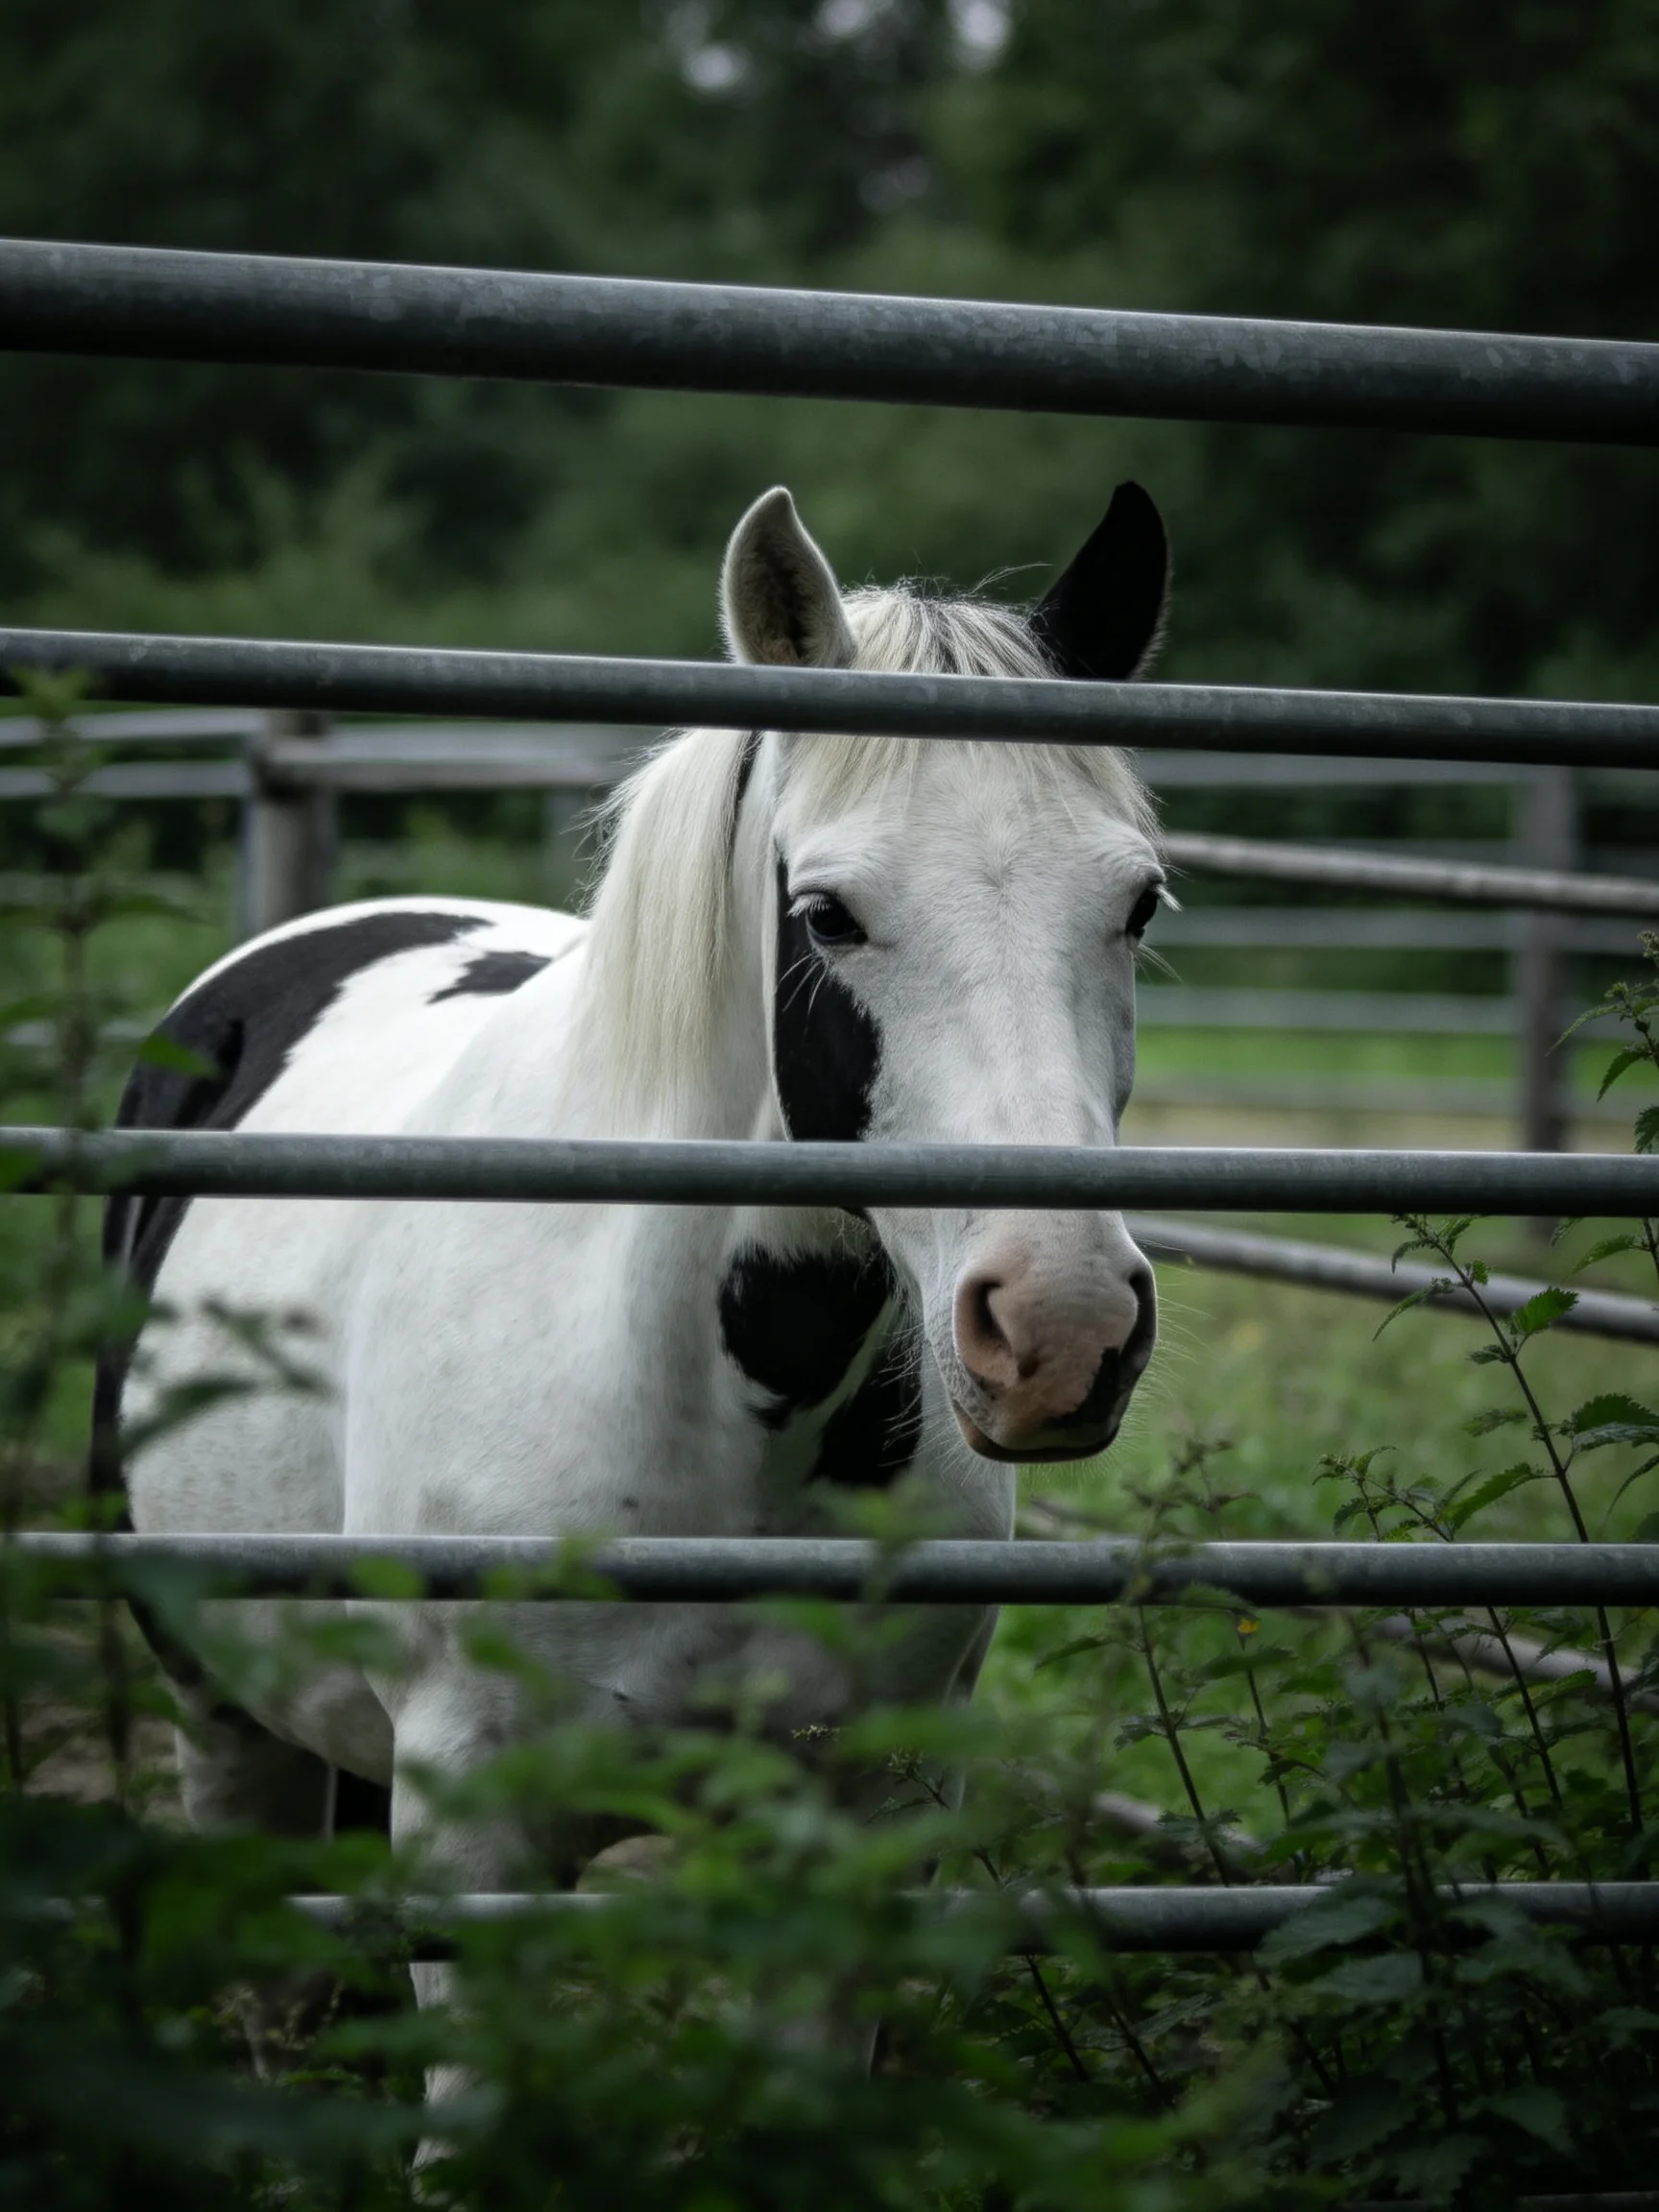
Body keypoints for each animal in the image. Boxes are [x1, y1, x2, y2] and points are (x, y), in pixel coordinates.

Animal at [95, 478, 1170, 2073]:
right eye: (830, 915)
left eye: (1139, 906)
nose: (1059, 1328)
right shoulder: (474, 1837)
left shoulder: (862, 1829)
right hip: (218, 1706)